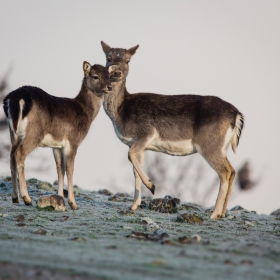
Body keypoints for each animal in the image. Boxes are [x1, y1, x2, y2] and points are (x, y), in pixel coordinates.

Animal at [3, 61, 112, 210]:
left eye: (109, 76)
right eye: (95, 76)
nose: (109, 87)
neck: (86, 113)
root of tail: (14, 99)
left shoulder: (56, 145)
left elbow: (60, 169)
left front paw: (59, 197)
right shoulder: (73, 141)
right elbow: (70, 169)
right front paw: (73, 203)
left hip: (13, 133)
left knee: (11, 155)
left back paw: (15, 198)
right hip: (34, 133)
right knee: (19, 154)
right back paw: (27, 198)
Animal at [101, 41, 245, 220]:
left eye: (128, 60)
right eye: (109, 58)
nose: (117, 72)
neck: (121, 111)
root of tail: (236, 114)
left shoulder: (147, 131)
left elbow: (130, 156)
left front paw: (152, 186)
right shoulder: (137, 144)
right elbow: (134, 169)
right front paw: (134, 205)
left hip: (210, 144)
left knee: (225, 172)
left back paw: (214, 214)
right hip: (221, 147)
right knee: (232, 170)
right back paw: (223, 213)